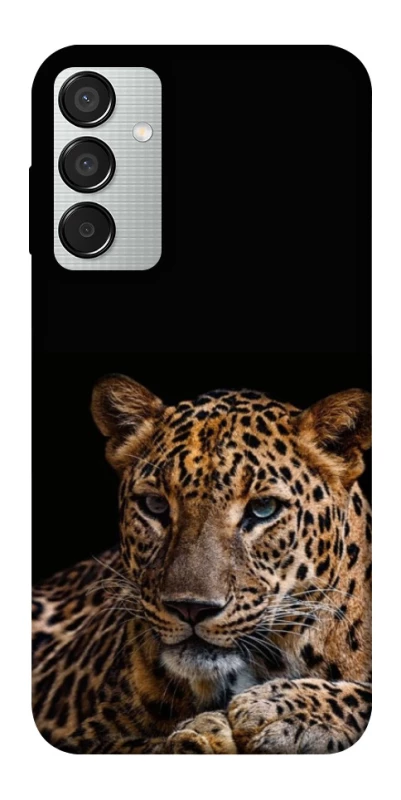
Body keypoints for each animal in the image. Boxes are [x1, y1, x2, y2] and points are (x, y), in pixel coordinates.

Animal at [32, 374, 372, 754]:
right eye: (154, 505)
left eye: (263, 509)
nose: (190, 608)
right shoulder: (89, 737)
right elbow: (146, 744)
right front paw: (208, 732)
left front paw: (277, 709)